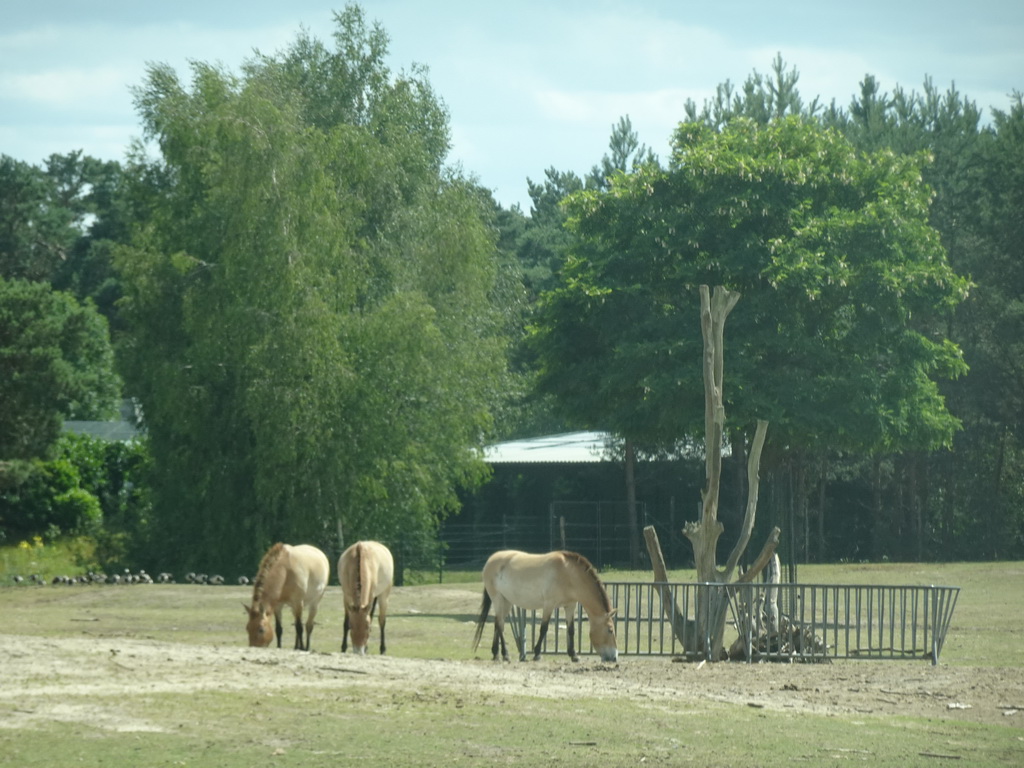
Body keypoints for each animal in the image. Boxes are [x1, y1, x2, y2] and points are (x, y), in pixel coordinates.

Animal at [468, 548, 614, 663]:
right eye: (610, 630)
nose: (614, 657)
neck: (567, 573)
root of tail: (490, 560)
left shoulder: (570, 606)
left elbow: (571, 630)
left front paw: (574, 655)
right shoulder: (549, 605)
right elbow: (544, 628)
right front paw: (537, 654)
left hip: (506, 601)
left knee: (498, 624)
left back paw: (496, 654)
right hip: (498, 598)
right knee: (499, 625)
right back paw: (505, 655)